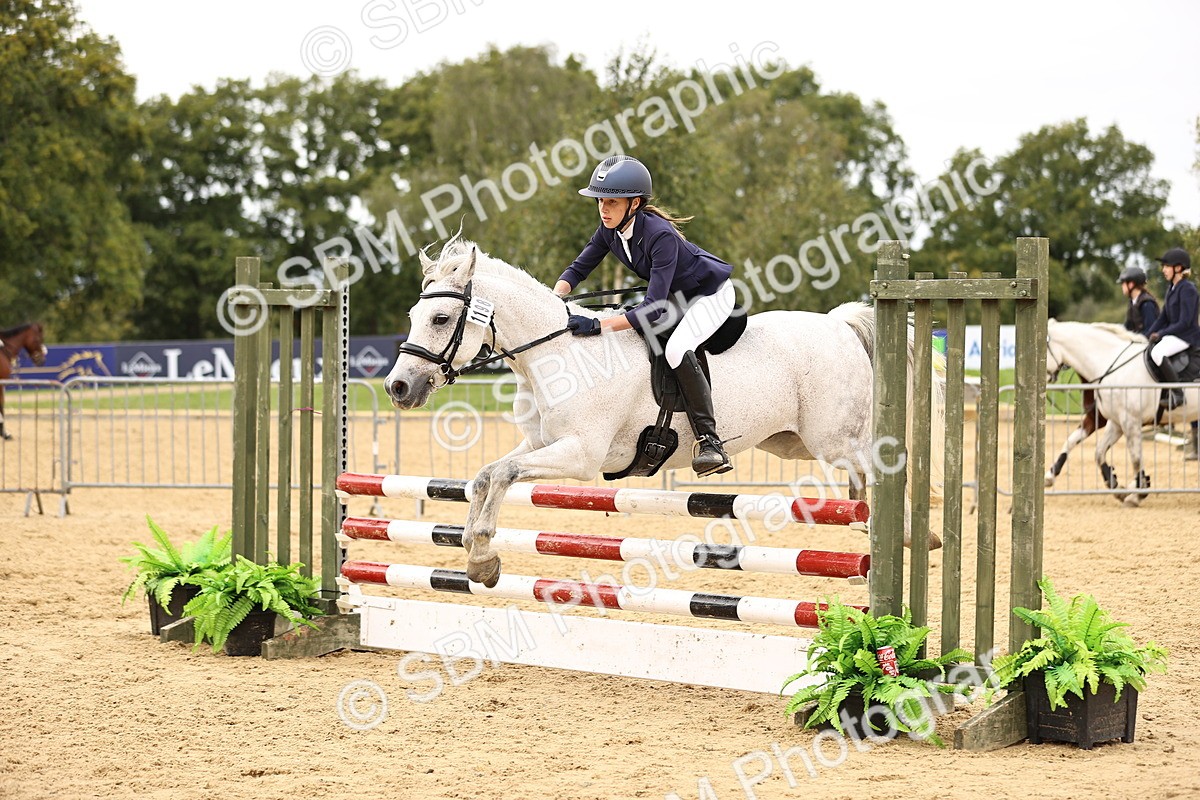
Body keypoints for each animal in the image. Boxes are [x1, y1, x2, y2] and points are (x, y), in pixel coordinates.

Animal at [383, 239, 946, 587]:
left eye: (441, 318)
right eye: (412, 314)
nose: (398, 387)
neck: (559, 352)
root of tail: (839, 323)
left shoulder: (581, 456)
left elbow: (500, 474)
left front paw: (481, 553)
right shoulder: (541, 444)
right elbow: (486, 475)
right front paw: (479, 557)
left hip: (834, 439)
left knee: (884, 469)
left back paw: (914, 537)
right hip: (794, 444)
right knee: (867, 478)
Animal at [1045, 319, 1200, 505]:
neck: (1108, 364)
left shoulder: (1129, 421)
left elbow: (1135, 458)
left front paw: (1137, 493)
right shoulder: (1115, 422)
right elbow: (1095, 451)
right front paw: (1117, 484)